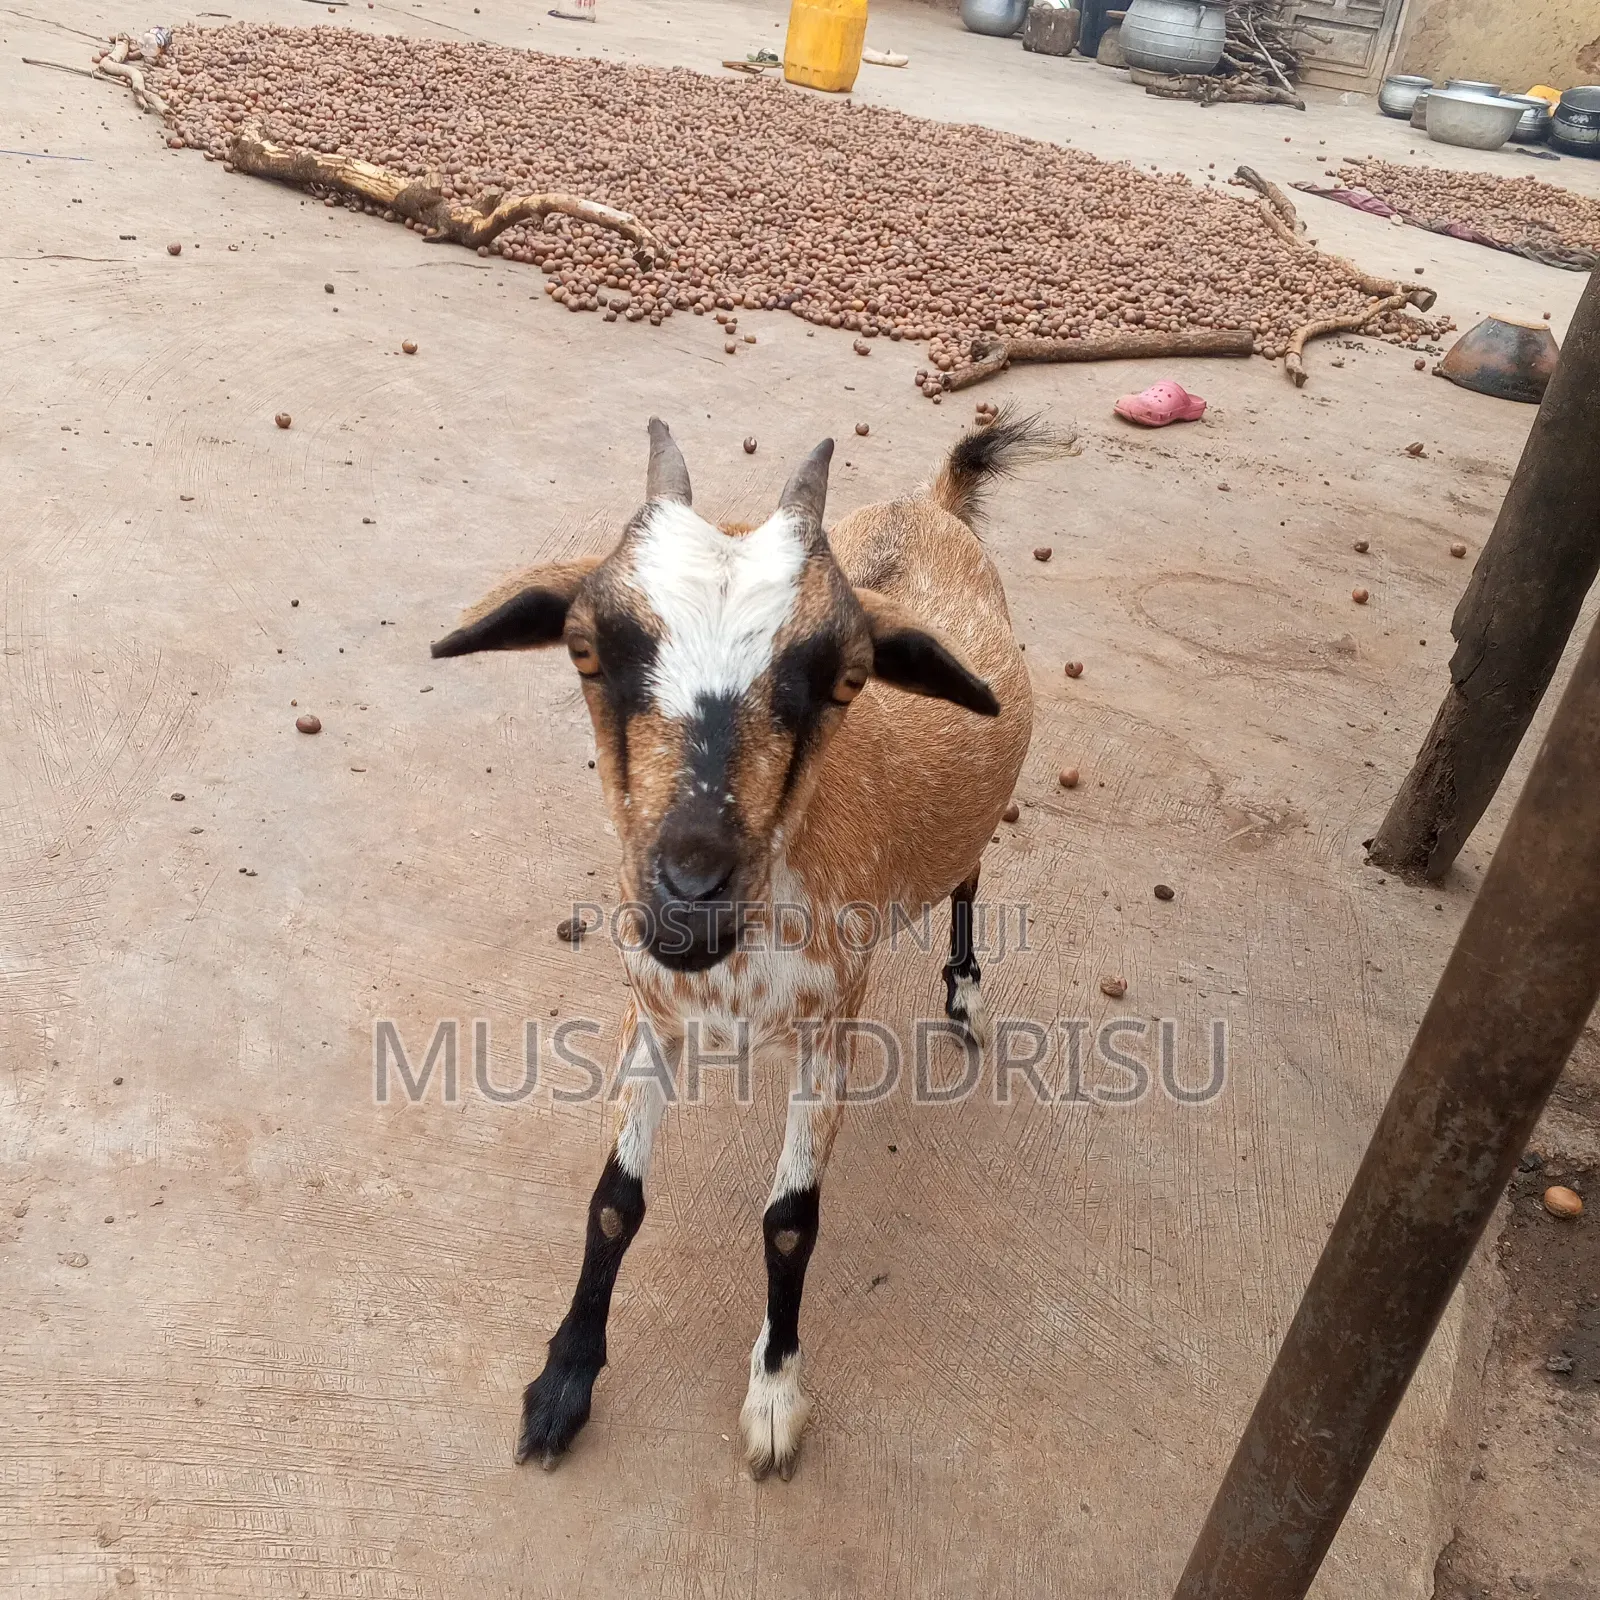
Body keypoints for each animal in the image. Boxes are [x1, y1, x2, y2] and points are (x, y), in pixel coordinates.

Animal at [431, 410, 1057, 1479]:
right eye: (585, 650)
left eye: (848, 676)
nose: (689, 897)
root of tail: (930, 503)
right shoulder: (653, 1010)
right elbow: (615, 1201)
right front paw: (560, 1387)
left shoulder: (832, 1023)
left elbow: (791, 1222)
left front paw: (774, 1400)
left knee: (971, 877)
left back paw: (966, 992)